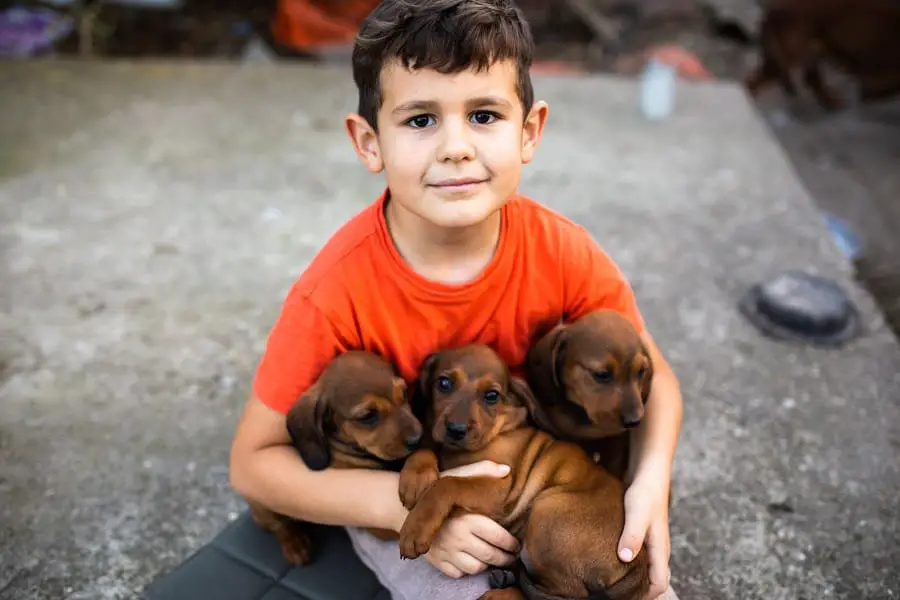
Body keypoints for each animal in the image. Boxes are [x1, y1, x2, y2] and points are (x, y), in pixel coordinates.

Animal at [250, 350, 426, 564]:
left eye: (405, 392)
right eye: (367, 416)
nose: (418, 438)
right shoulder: (379, 529)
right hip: (262, 503)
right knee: (278, 524)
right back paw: (295, 545)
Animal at [400, 344, 648, 600]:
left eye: (492, 396)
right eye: (444, 383)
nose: (456, 430)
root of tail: (639, 565)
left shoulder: (501, 489)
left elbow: (447, 484)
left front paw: (415, 528)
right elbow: (427, 447)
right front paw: (415, 478)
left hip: (546, 511)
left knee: (568, 593)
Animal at [740, 0, 900, 109]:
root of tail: (772, 11)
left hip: (809, 51)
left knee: (810, 79)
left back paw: (831, 102)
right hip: (795, 56)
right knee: (752, 81)